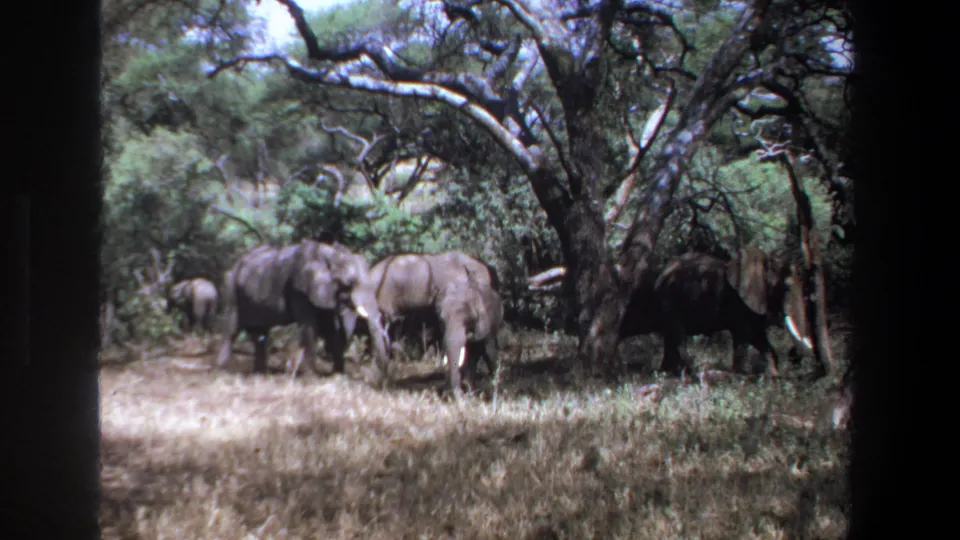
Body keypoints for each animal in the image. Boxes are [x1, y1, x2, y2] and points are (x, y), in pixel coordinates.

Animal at [215, 240, 384, 375]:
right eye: (350, 283)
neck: (328, 253)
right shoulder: (299, 289)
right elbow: (310, 326)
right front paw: (312, 376)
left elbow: (329, 328)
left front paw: (337, 375)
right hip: (230, 287)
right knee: (231, 329)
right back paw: (222, 370)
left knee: (259, 335)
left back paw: (260, 373)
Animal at [620, 246, 813, 377]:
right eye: (785, 288)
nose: (793, 356)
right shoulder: (737, 300)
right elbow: (744, 334)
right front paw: (739, 376)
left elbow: (758, 336)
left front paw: (773, 376)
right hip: (671, 299)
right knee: (677, 336)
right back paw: (687, 374)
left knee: (670, 337)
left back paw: (667, 373)